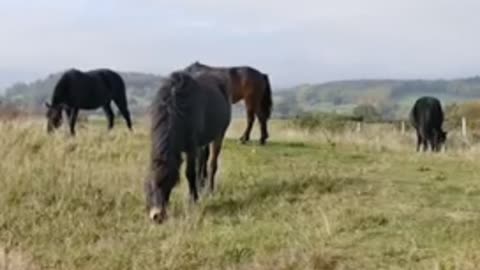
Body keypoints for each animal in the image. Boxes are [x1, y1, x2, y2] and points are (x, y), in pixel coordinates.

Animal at [143, 69, 232, 224]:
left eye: (167, 182)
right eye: (149, 184)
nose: (157, 215)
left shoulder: (191, 147)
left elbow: (189, 173)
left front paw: (193, 199)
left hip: (219, 135)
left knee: (212, 163)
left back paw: (209, 189)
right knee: (203, 159)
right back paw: (201, 183)